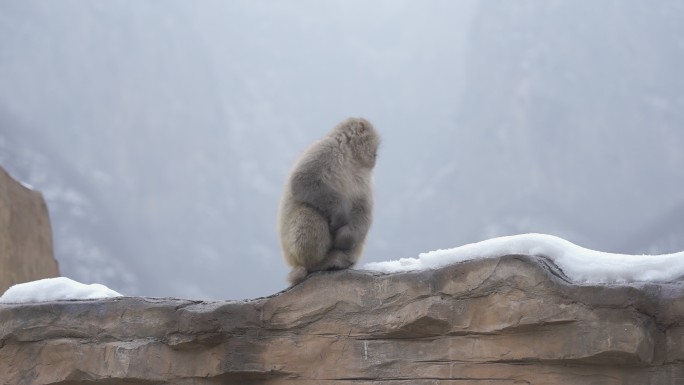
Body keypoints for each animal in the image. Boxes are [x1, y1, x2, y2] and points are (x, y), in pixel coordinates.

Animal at [276, 117, 380, 284]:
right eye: (375, 146)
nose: (375, 157)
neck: (350, 158)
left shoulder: (364, 178)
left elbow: (362, 209)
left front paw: (344, 238)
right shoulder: (327, 149)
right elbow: (303, 180)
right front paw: (340, 215)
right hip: (292, 253)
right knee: (308, 210)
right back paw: (319, 263)